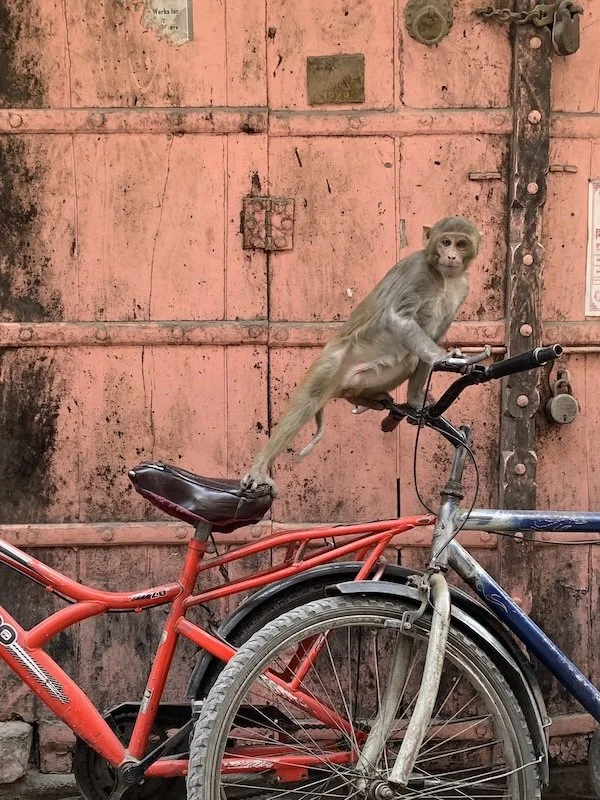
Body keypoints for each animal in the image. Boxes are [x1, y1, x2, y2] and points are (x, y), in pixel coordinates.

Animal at [241, 216, 482, 496]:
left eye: (461, 243)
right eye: (445, 241)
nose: (451, 255)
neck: (444, 278)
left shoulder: (463, 288)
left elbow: (432, 339)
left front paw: (416, 402)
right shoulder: (416, 270)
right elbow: (397, 319)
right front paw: (446, 358)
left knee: (410, 357)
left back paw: (366, 398)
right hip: (330, 364)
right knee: (308, 400)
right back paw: (260, 467)